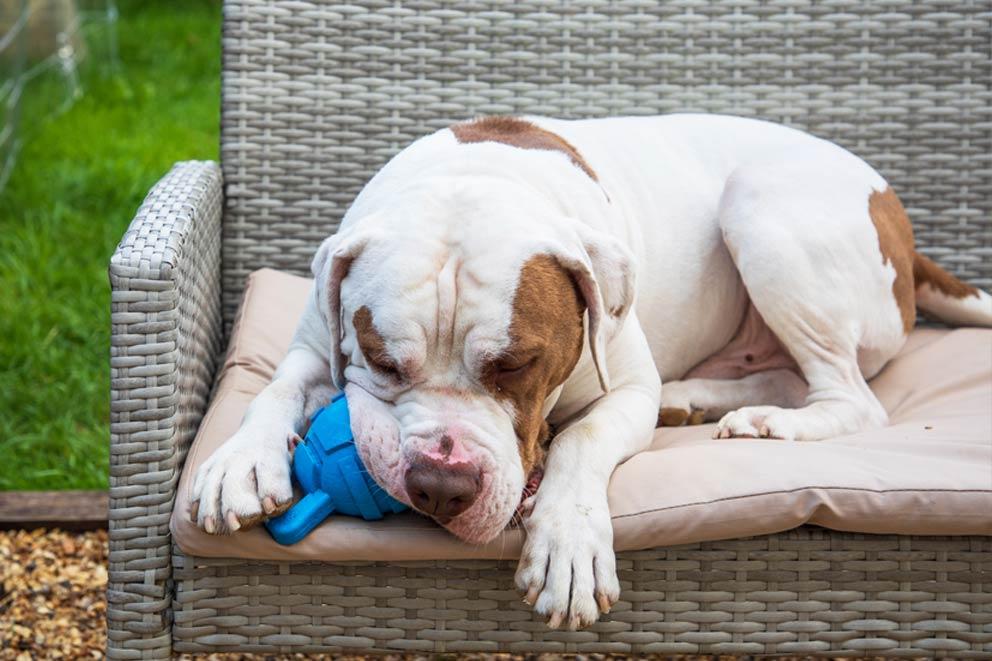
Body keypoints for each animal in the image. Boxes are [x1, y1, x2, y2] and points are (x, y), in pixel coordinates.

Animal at [188, 113, 992, 628]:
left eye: (518, 363)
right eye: (382, 360)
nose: (441, 484)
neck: (475, 172)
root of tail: (902, 226)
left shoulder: (623, 388)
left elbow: (580, 441)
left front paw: (567, 545)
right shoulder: (312, 343)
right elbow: (274, 388)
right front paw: (239, 463)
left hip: (762, 210)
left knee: (852, 396)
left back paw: (768, 421)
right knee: (784, 372)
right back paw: (699, 398)